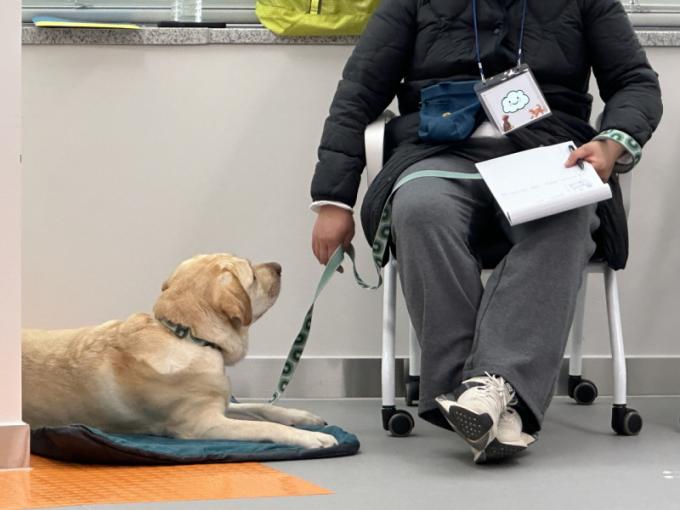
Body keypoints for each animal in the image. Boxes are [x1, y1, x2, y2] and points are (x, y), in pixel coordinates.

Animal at [22, 254, 338, 449]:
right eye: (251, 273)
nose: (279, 266)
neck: (187, 336)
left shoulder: (219, 401)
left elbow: (259, 407)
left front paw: (301, 416)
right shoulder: (203, 424)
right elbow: (263, 428)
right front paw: (309, 438)